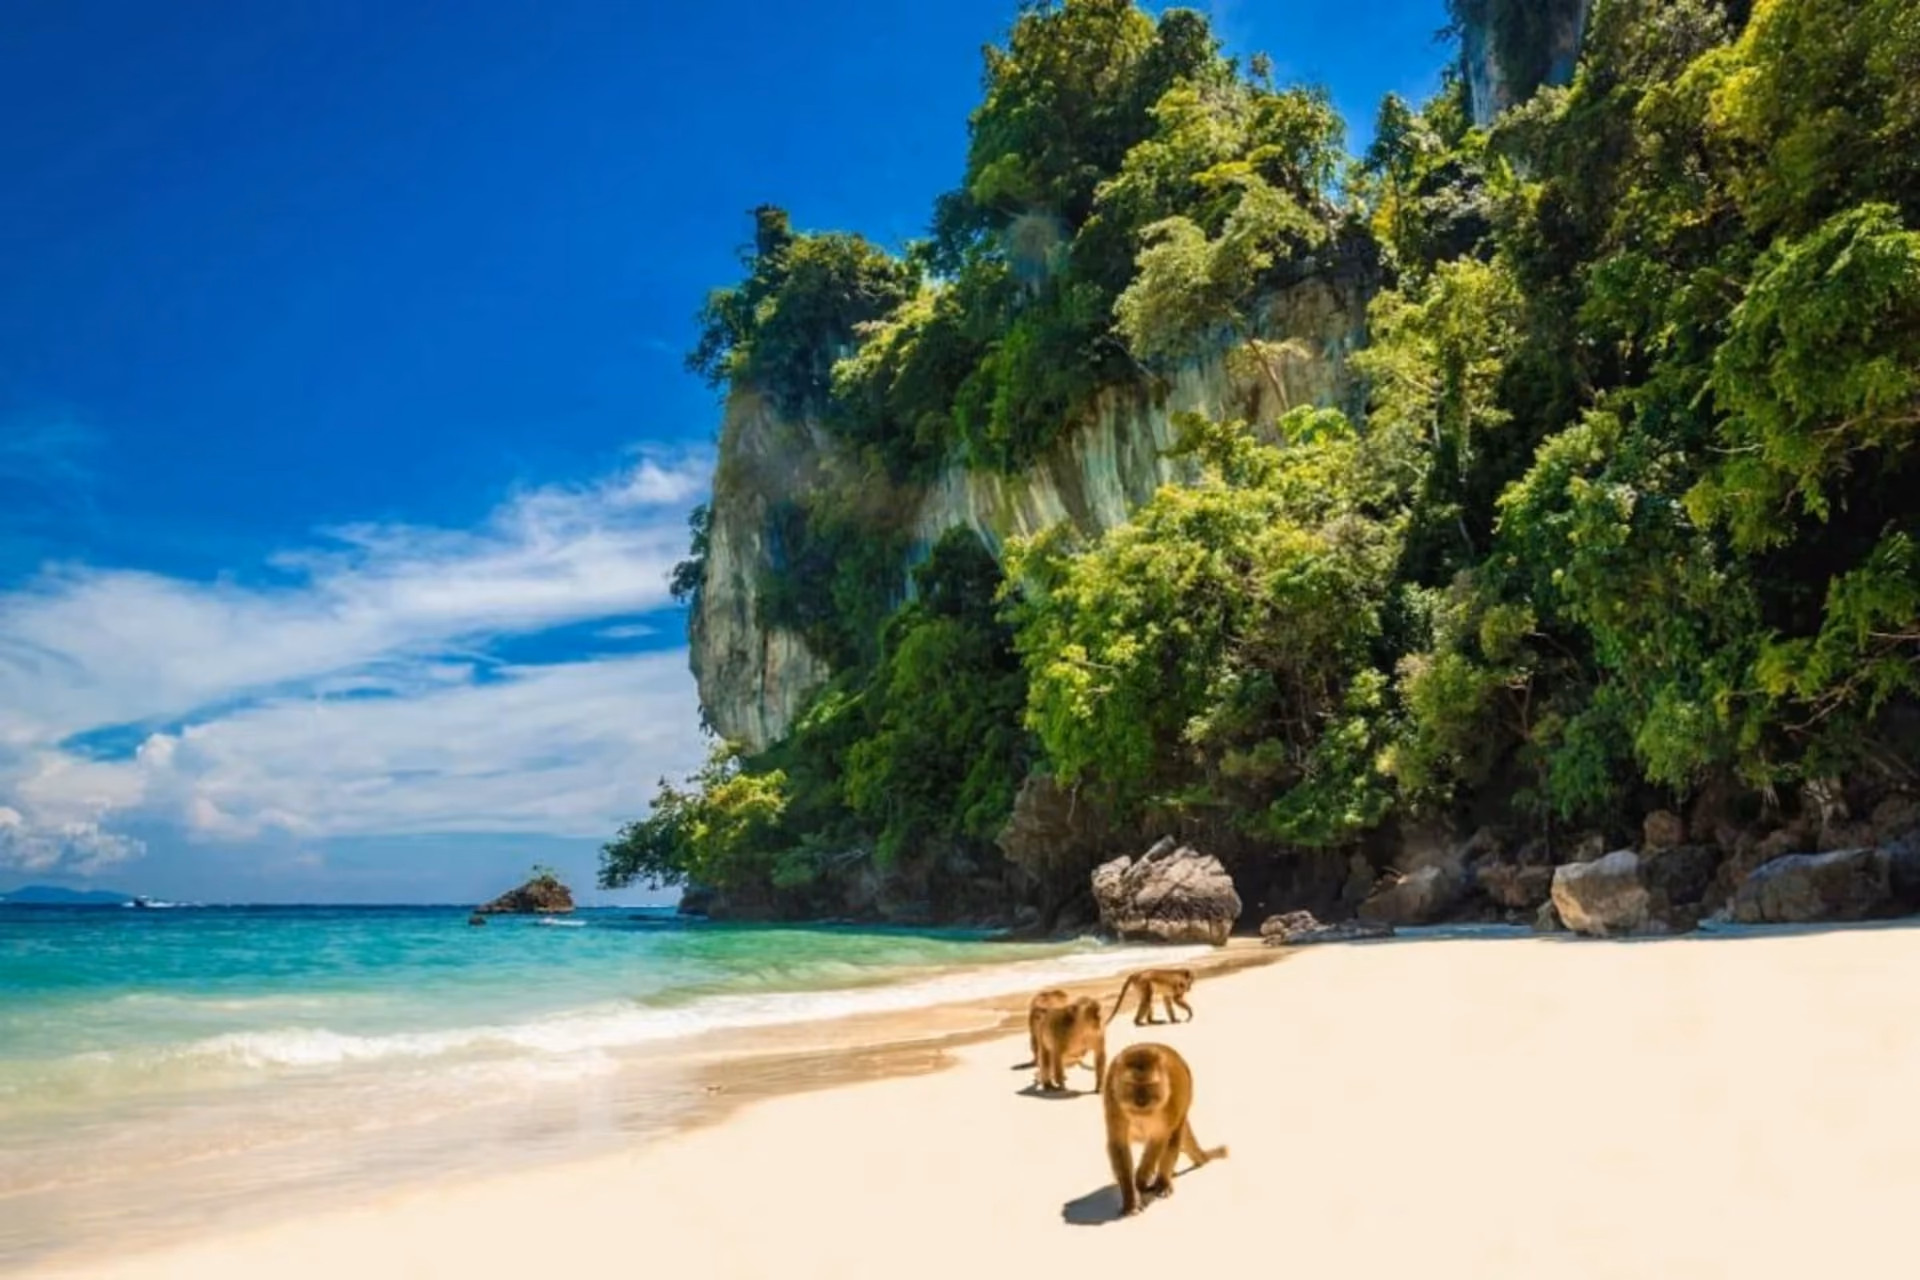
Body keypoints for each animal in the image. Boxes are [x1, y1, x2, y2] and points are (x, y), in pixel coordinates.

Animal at [1101, 1042, 1227, 1217]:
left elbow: (1159, 1140)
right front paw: (1130, 1200)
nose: (1141, 1101)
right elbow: (1118, 1144)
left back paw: (1162, 1182)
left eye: (1150, 1085)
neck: (1141, 1115)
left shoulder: (1169, 1106)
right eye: (1131, 1084)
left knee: (1173, 1139)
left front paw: (1142, 1177)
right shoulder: (1113, 1104)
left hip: (1184, 1102)